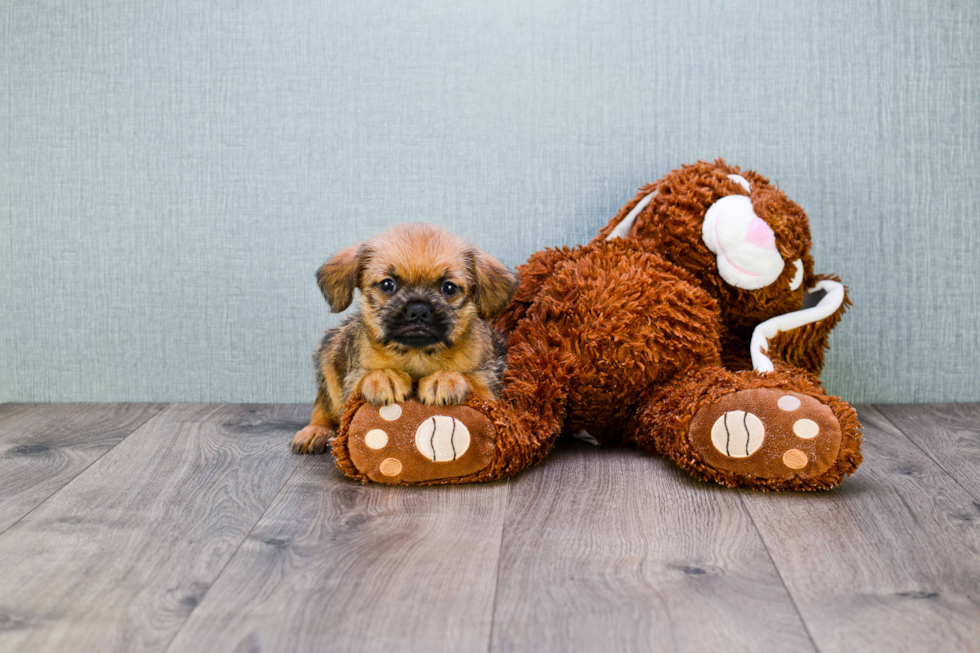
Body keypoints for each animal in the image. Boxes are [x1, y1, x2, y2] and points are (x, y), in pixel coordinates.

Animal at [290, 224, 520, 454]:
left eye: (449, 288)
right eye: (387, 285)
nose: (418, 310)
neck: (417, 354)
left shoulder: (491, 394)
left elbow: (473, 378)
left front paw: (445, 379)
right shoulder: (352, 387)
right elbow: (365, 378)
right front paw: (384, 377)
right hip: (329, 356)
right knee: (323, 407)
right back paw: (315, 431)